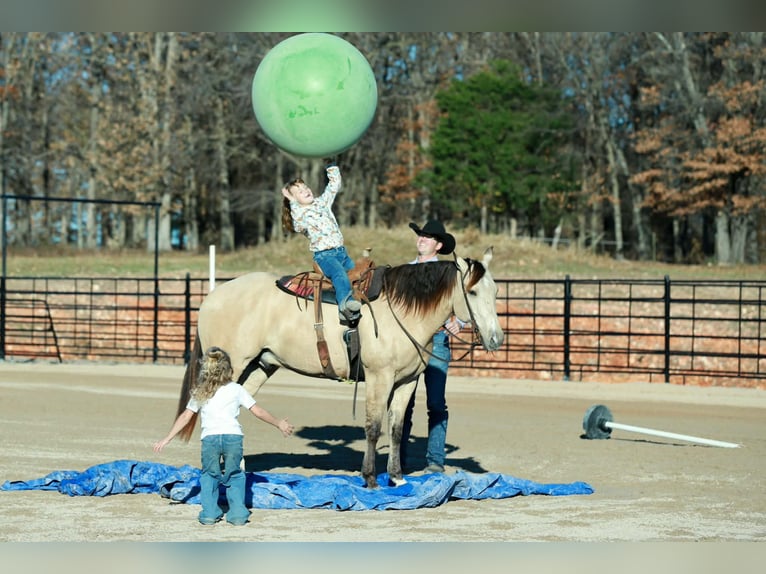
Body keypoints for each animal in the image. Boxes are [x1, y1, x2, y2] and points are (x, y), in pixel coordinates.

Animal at [175, 247, 504, 488]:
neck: (401, 311)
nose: (497, 338)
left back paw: (239, 472)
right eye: (473, 292)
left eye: (497, 291)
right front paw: (370, 478)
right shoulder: (379, 378)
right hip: (231, 365)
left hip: (259, 366)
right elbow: (373, 427)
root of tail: (212, 297)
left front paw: (397, 477)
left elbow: (397, 429)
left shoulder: (406, 382)